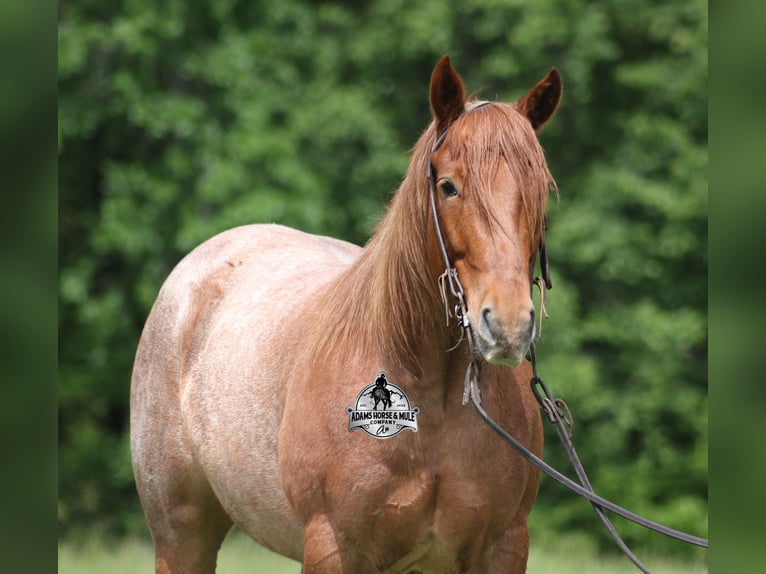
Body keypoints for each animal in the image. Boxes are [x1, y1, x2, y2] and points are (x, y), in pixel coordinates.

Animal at [130, 55, 562, 573]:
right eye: (448, 187)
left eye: (540, 190)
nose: (508, 326)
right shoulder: (331, 545)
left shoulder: (502, 547)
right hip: (182, 536)